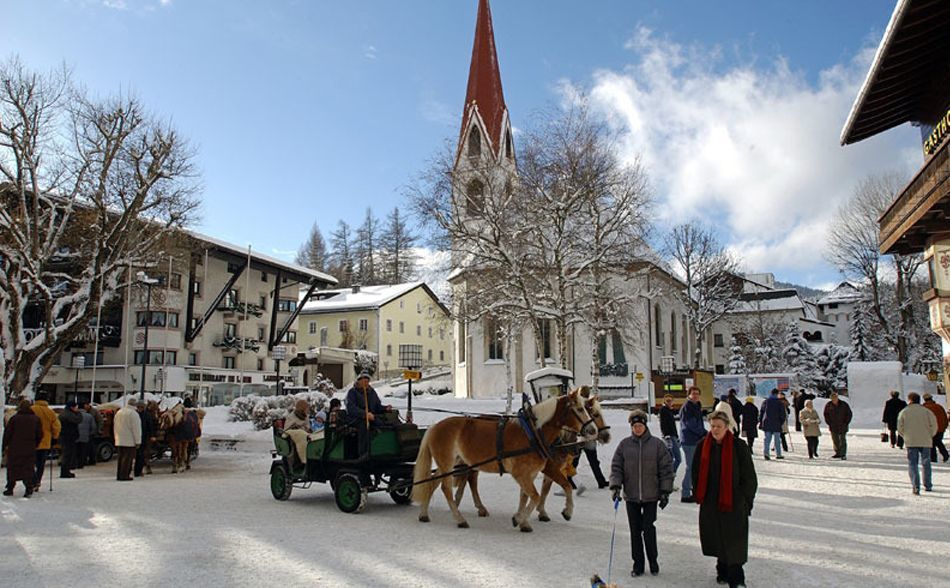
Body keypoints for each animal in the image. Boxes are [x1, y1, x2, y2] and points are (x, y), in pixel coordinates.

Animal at [412, 390, 600, 532]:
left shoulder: (530, 474)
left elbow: (528, 496)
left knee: (433, 482)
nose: (593, 430)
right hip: (448, 464)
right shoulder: (522, 473)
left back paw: (424, 514)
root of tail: (434, 427)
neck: (533, 434)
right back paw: (459, 519)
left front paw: (523, 519)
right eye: (579, 409)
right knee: (445, 488)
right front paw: (522, 518)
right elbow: (537, 496)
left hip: (452, 464)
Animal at [456, 392, 616, 520]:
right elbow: (564, 485)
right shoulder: (549, 468)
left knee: (468, 478)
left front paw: (530, 513)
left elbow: (541, 490)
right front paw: (559, 511)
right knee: (469, 479)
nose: (606, 436)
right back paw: (467, 503)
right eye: (594, 414)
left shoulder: (543, 469)